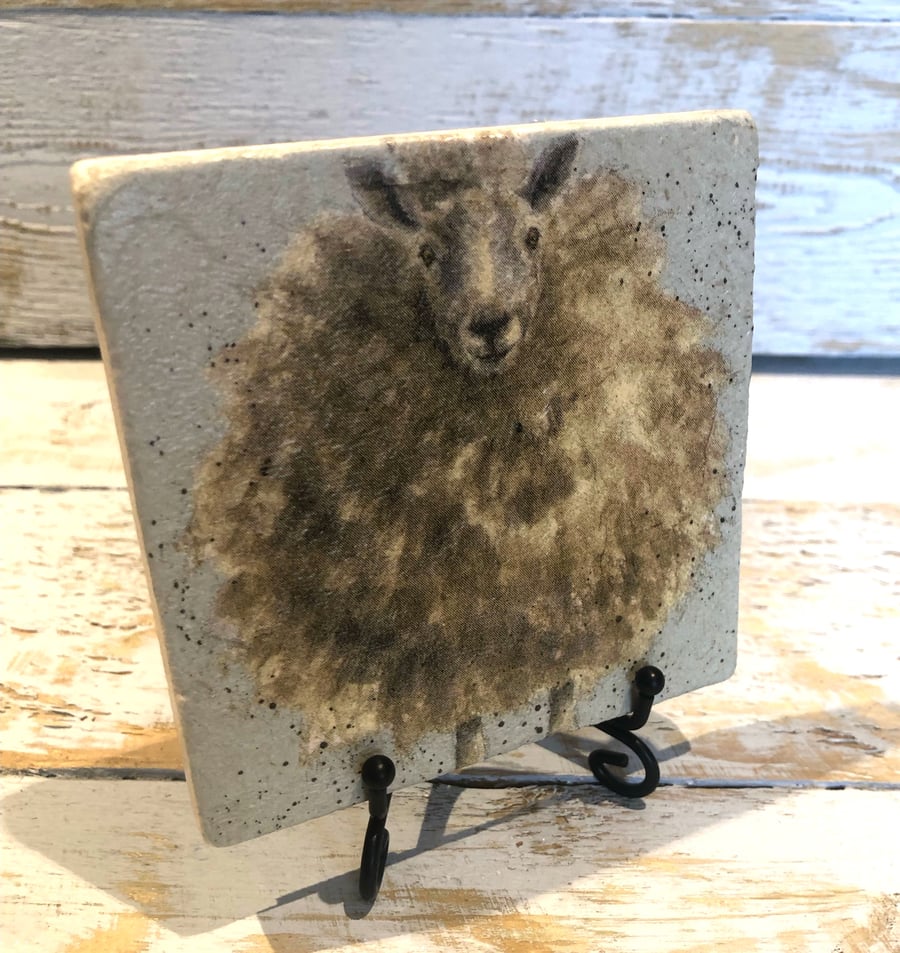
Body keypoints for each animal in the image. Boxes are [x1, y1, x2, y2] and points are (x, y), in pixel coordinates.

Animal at [187, 132, 729, 757]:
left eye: (533, 235)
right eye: (425, 253)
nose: (489, 325)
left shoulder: (577, 611)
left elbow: (564, 700)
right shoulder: (450, 638)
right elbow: (468, 734)